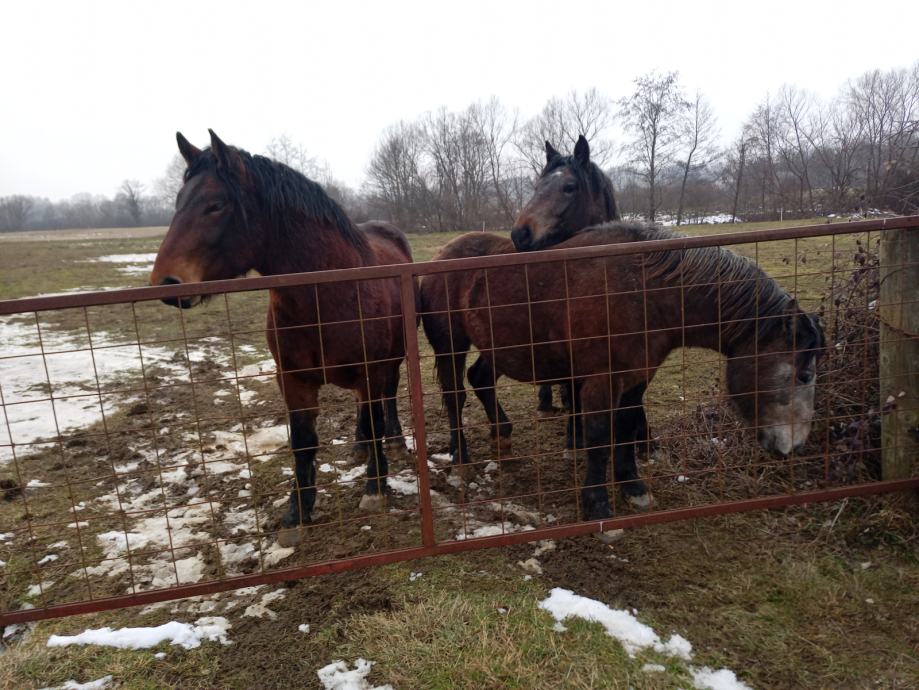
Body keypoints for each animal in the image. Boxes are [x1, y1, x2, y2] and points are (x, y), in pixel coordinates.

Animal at [151, 130, 414, 544]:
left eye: (216, 205)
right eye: (178, 202)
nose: (166, 283)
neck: (328, 294)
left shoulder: (371, 369)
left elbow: (374, 422)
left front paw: (375, 488)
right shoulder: (293, 380)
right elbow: (303, 442)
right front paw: (298, 512)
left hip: (393, 359)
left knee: (385, 399)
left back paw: (395, 442)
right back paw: (357, 448)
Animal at [422, 221, 824, 521]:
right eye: (804, 376)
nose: (795, 446)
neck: (643, 291)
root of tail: (441, 254)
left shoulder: (636, 379)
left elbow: (627, 427)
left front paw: (632, 485)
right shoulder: (602, 380)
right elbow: (600, 437)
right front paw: (596, 502)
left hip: (497, 347)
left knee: (480, 381)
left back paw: (502, 435)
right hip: (450, 344)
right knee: (455, 395)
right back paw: (461, 457)